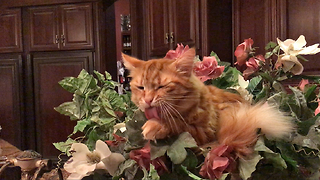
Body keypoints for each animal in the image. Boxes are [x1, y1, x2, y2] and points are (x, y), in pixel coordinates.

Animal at [121, 48, 294, 156]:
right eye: (141, 87)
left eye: (161, 87)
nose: (148, 99)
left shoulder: (203, 132)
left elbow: (178, 123)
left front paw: (157, 125)